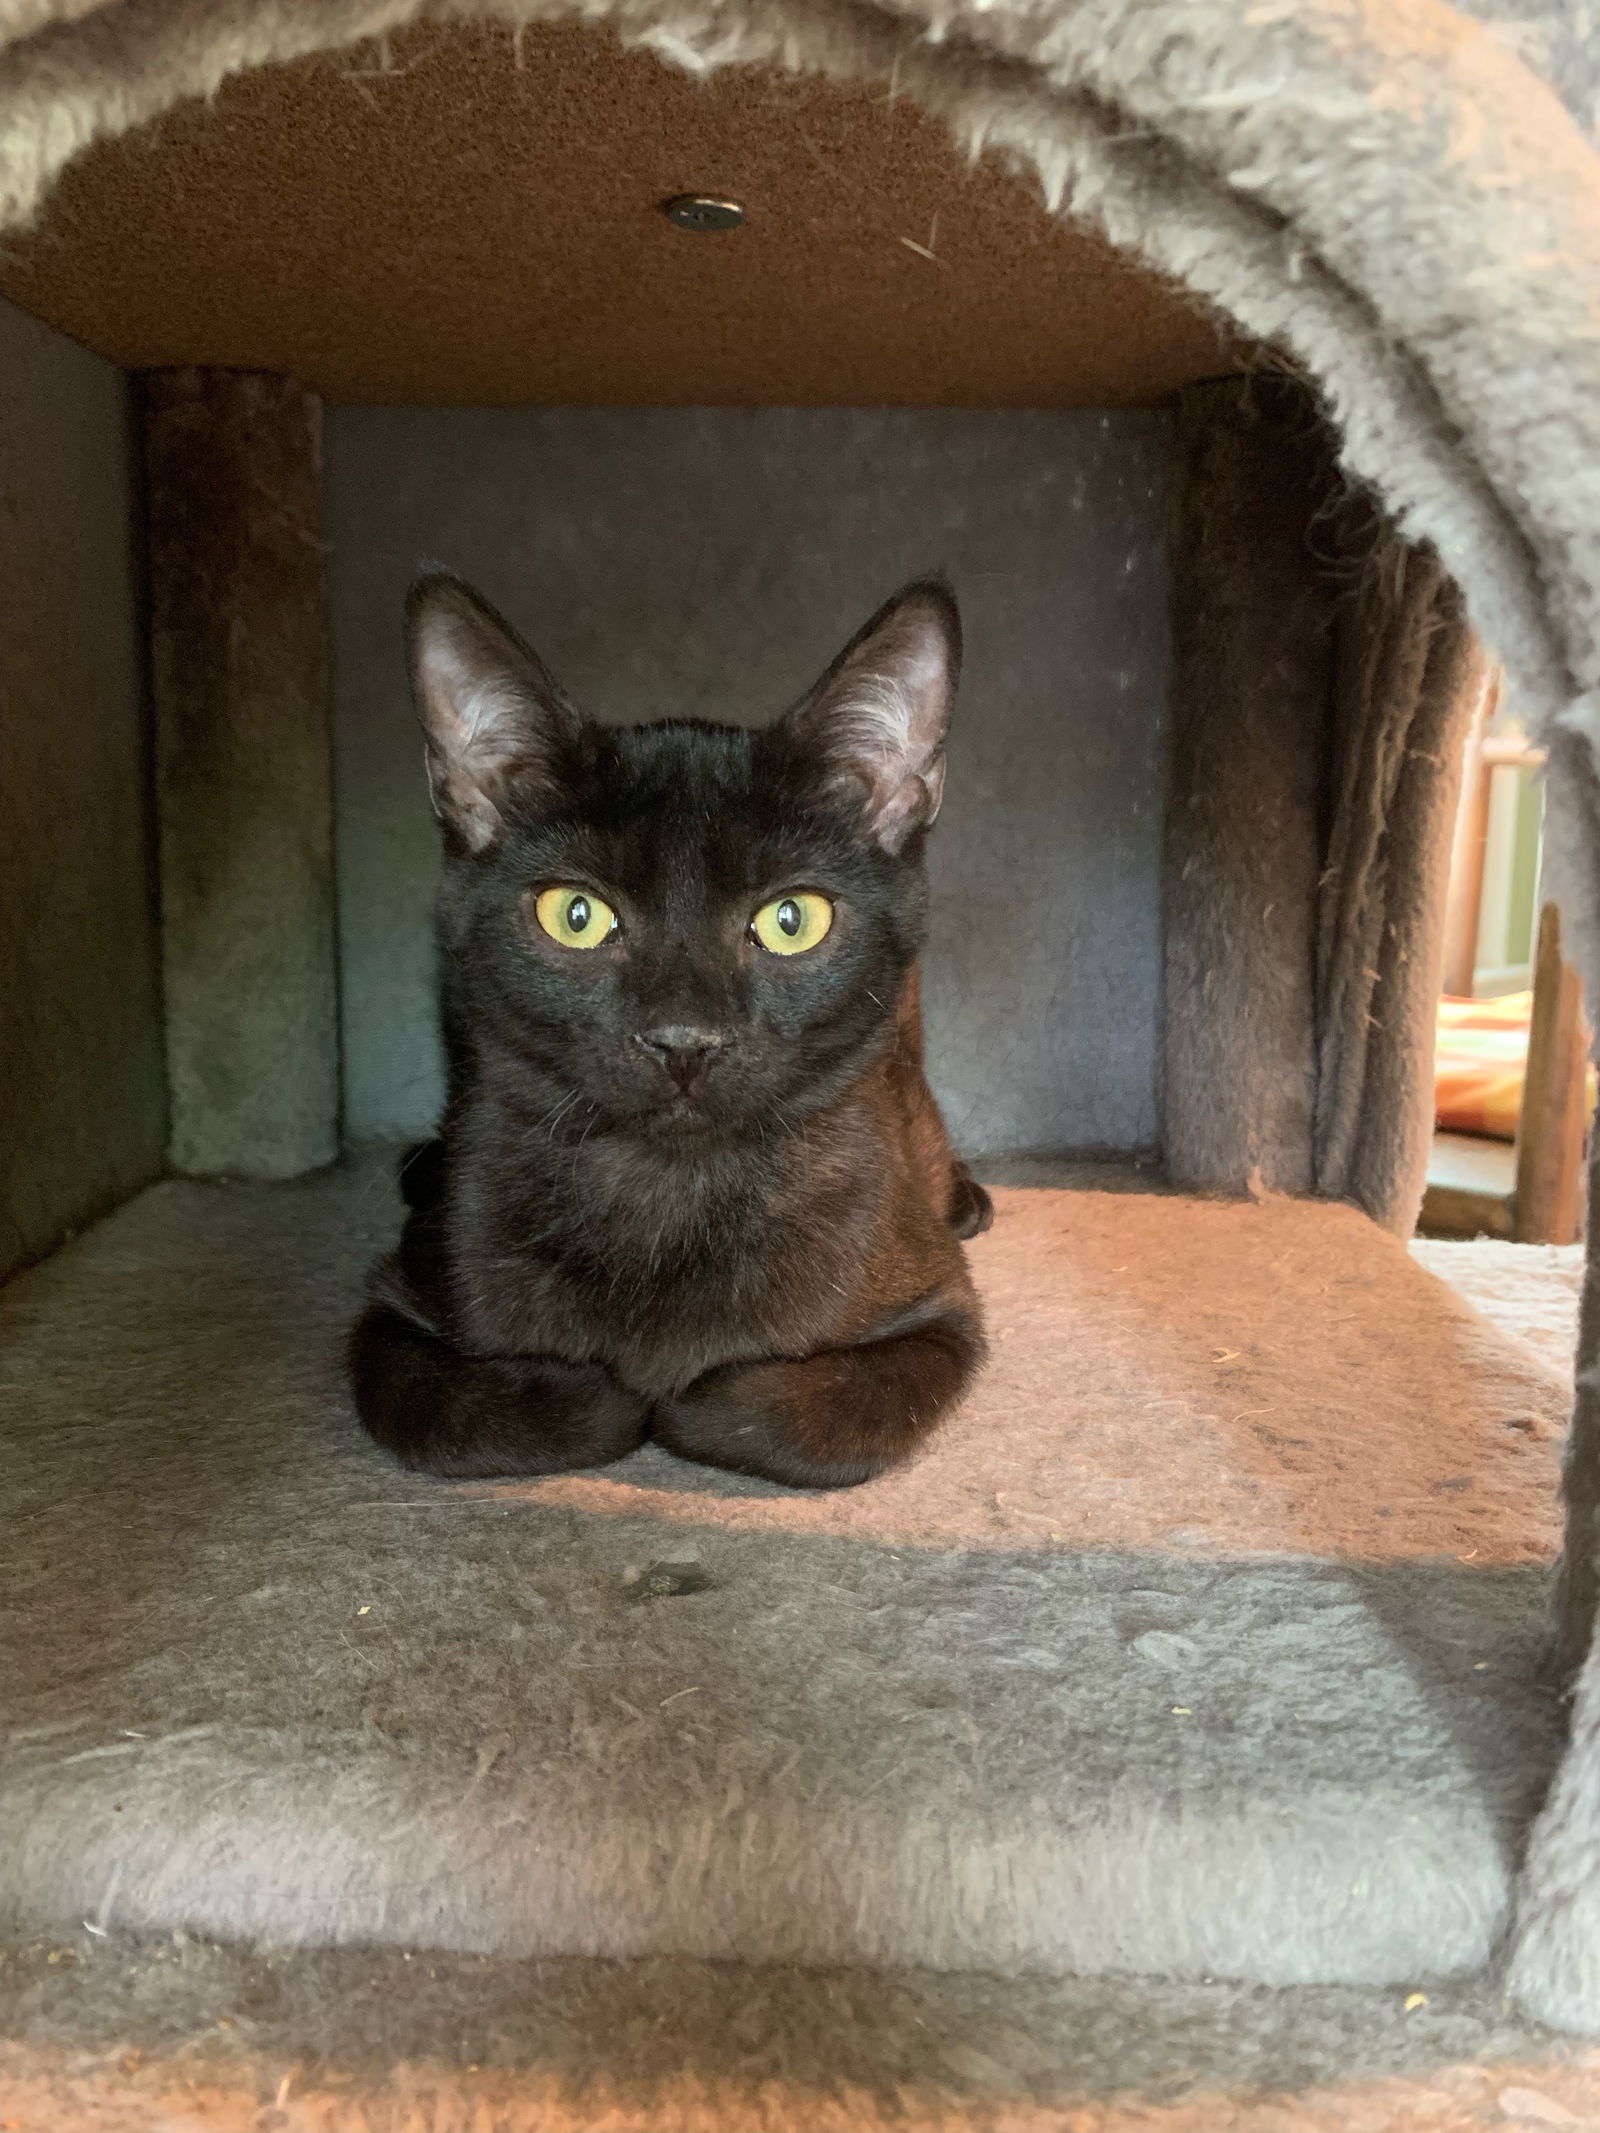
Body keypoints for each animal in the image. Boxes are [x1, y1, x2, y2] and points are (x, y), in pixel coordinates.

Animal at [349, 575, 989, 1493]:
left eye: (792, 919)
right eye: (575, 915)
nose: (684, 1037)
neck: (669, 1193)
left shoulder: (940, 1310)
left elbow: (818, 1419)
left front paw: (682, 1397)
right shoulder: (395, 1302)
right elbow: (438, 1411)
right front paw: (608, 1393)